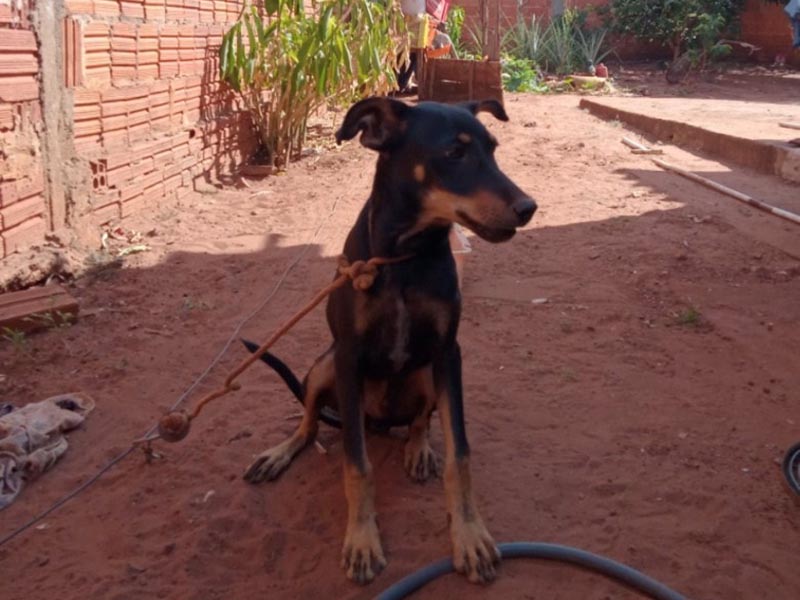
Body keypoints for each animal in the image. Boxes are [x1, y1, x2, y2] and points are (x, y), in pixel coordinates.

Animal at [244, 96, 536, 584]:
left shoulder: (448, 353)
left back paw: (418, 450)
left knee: (418, 421)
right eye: (454, 153)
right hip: (323, 367)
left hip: (424, 374)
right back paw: (280, 453)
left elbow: (460, 455)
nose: (528, 207)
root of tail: (379, 422)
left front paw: (470, 536)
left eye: (493, 149)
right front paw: (363, 540)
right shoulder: (347, 356)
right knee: (311, 424)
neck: (404, 256)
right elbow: (356, 464)